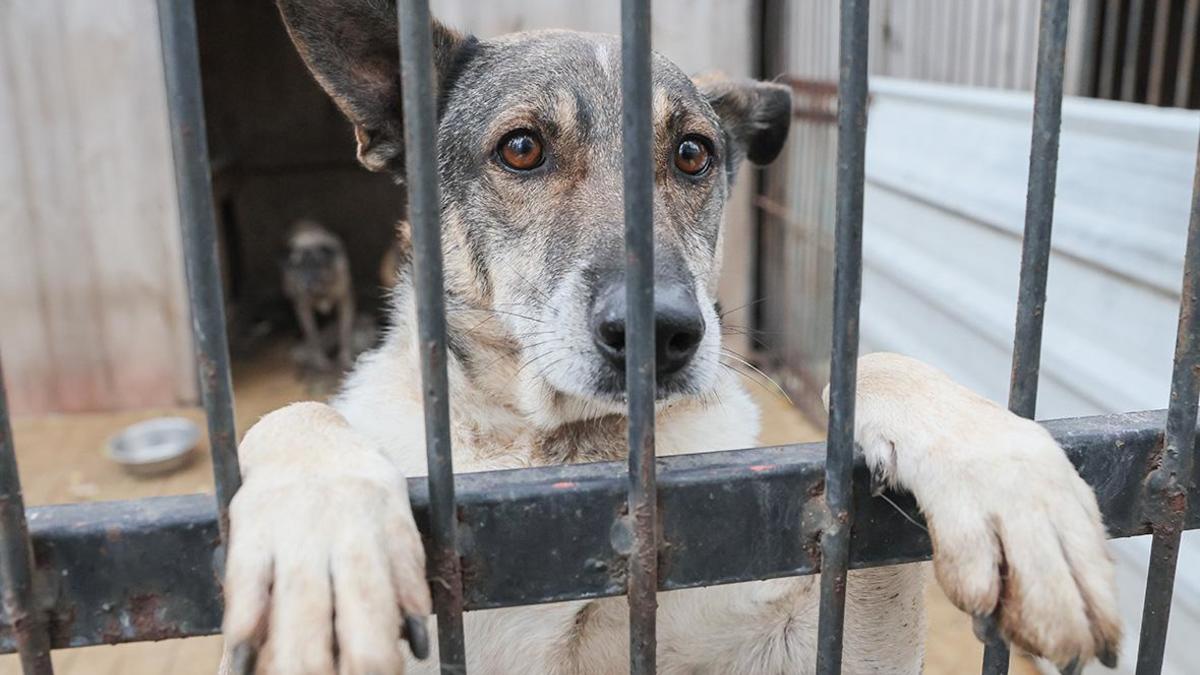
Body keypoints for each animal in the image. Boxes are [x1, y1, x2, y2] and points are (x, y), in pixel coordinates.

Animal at [280, 218, 355, 367]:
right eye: (300, 268)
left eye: (317, 265)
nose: (306, 286)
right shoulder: (304, 309)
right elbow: (313, 337)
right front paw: (319, 359)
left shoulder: (345, 303)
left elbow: (344, 332)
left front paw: (345, 357)